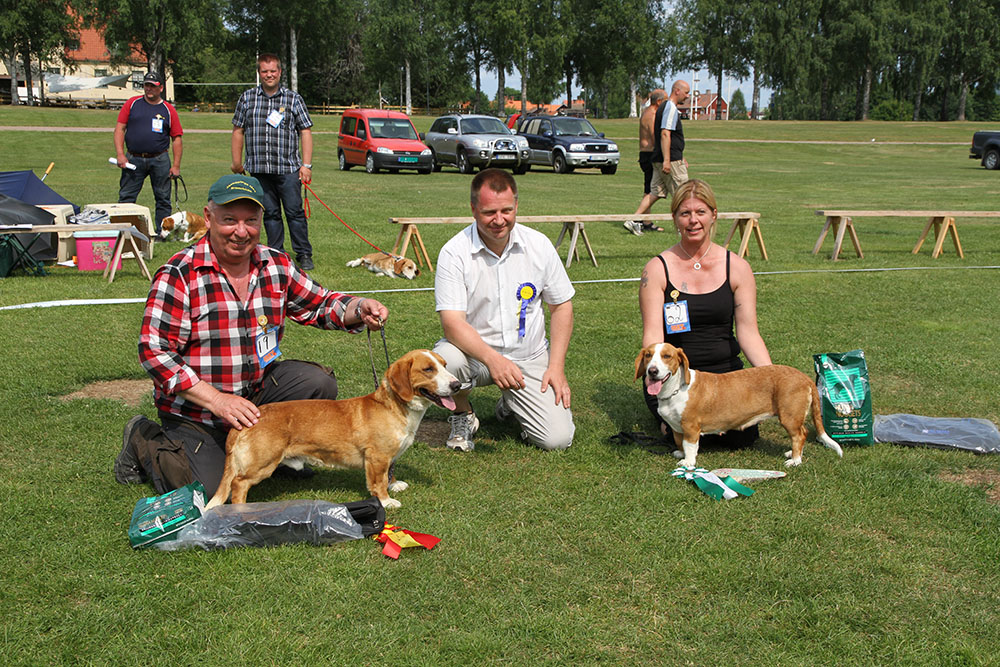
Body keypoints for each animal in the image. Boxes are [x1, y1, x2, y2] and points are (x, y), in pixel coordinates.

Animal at [208, 350, 464, 512]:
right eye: (428, 369)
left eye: (444, 365)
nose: (458, 385)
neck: (394, 406)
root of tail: (247, 420)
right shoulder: (377, 458)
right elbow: (378, 483)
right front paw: (386, 501)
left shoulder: (387, 458)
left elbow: (389, 474)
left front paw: (394, 484)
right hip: (263, 463)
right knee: (238, 484)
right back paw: (241, 511)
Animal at [636, 344, 840, 470]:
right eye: (648, 355)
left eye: (667, 356)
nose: (652, 371)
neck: (675, 390)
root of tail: (803, 377)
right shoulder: (677, 427)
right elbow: (680, 442)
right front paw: (680, 454)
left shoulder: (691, 427)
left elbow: (690, 446)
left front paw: (688, 463)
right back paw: (793, 453)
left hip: (789, 417)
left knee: (800, 435)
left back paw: (796, 460)